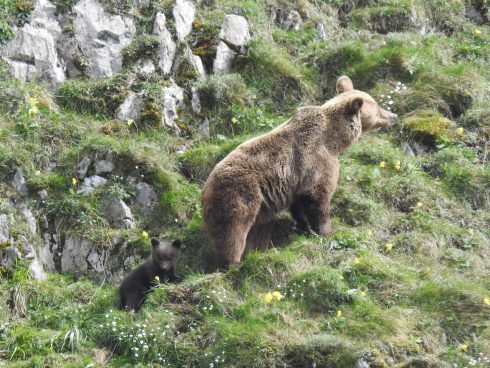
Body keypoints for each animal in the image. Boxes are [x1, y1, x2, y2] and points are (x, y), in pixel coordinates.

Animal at [201, 76, 396, 268]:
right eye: (378, 106)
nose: (393, 115)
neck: (335, 141)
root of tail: (205, 186)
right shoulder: (317, 162)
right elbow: (318, 197)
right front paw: (326, 231)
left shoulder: (295, 180)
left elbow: (299, 204)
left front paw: (305, 227)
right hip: (239, 195)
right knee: (232, 231)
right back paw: (232, 263)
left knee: (258, 228)